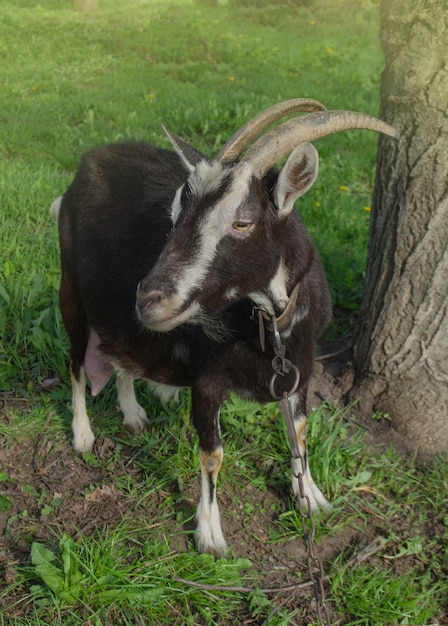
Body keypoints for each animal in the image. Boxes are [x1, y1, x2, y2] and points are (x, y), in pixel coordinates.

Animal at [51, 100, 396, 552]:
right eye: (175, 214)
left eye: (243, 222)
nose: (149, 299)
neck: (267, 329)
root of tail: (88, 161)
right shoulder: (206, 377)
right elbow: (212, 455)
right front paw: (210, 534)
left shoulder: (301, 366)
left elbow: (300, 430)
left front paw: (310, 496)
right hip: (71, 288)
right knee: (76, 364)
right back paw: (83, 435)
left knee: (120, 349)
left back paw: (132, 412)